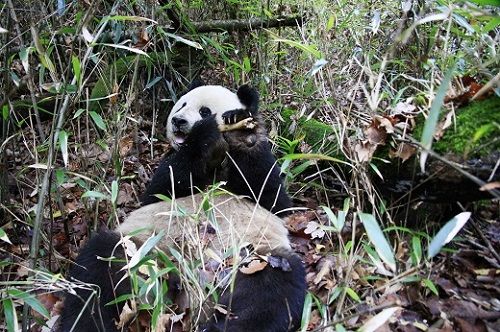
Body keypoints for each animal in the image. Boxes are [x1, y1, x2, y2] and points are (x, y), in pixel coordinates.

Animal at [141, 80, 292, 215]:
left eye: (204, 111)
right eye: (182, 106)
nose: (178, 120)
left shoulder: (256, 157)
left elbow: (272, 197)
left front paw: (236, 119)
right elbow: (160, 191)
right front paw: (203, 131)